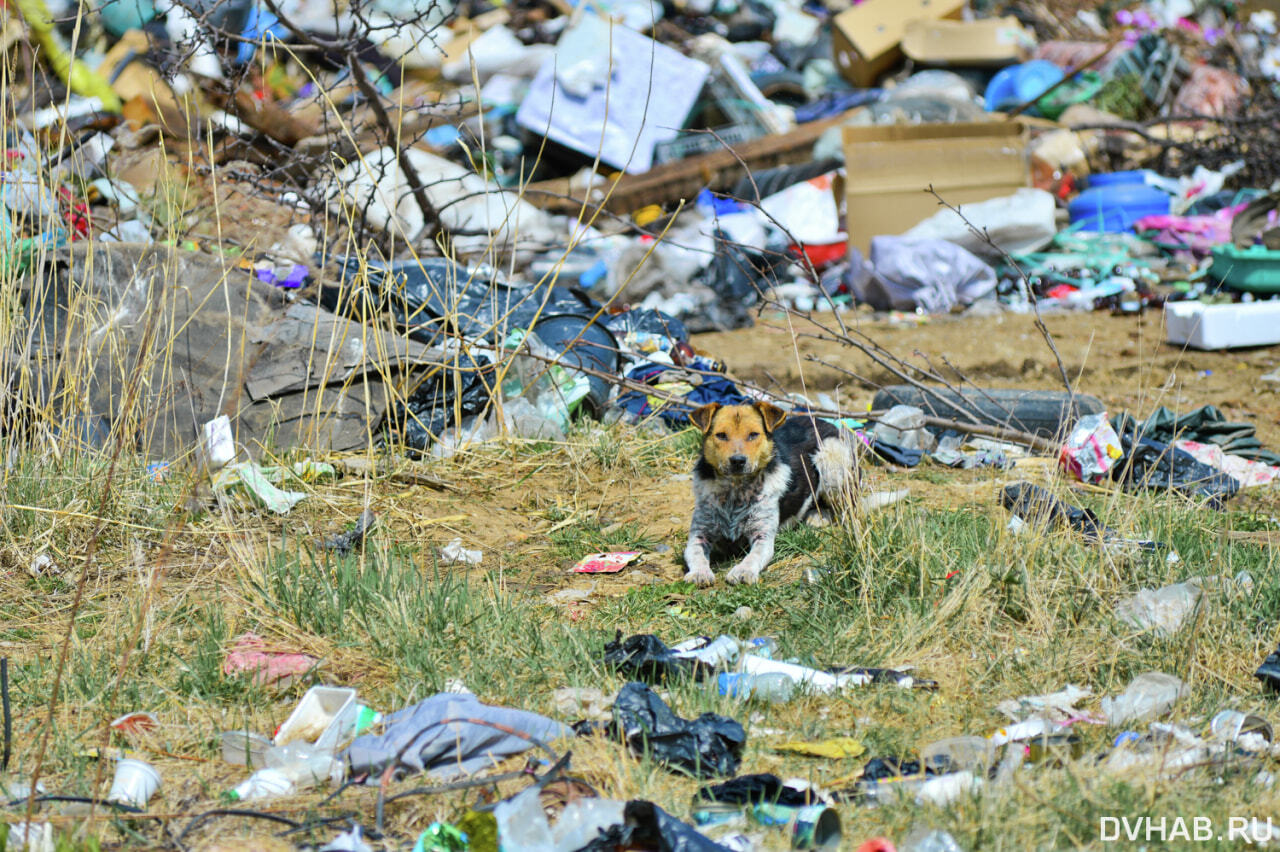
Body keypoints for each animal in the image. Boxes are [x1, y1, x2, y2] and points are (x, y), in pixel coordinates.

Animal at [686, 399, 855, 583]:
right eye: (721, 435)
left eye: (753, 434)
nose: (738, 461)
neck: (736, 490)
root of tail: (826, 422)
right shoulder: (700, 532)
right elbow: (696, 554)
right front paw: (699, 573)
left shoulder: (763, 535)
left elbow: (753, 556)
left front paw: (743, 571)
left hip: (832, 463)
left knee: (846, 507)